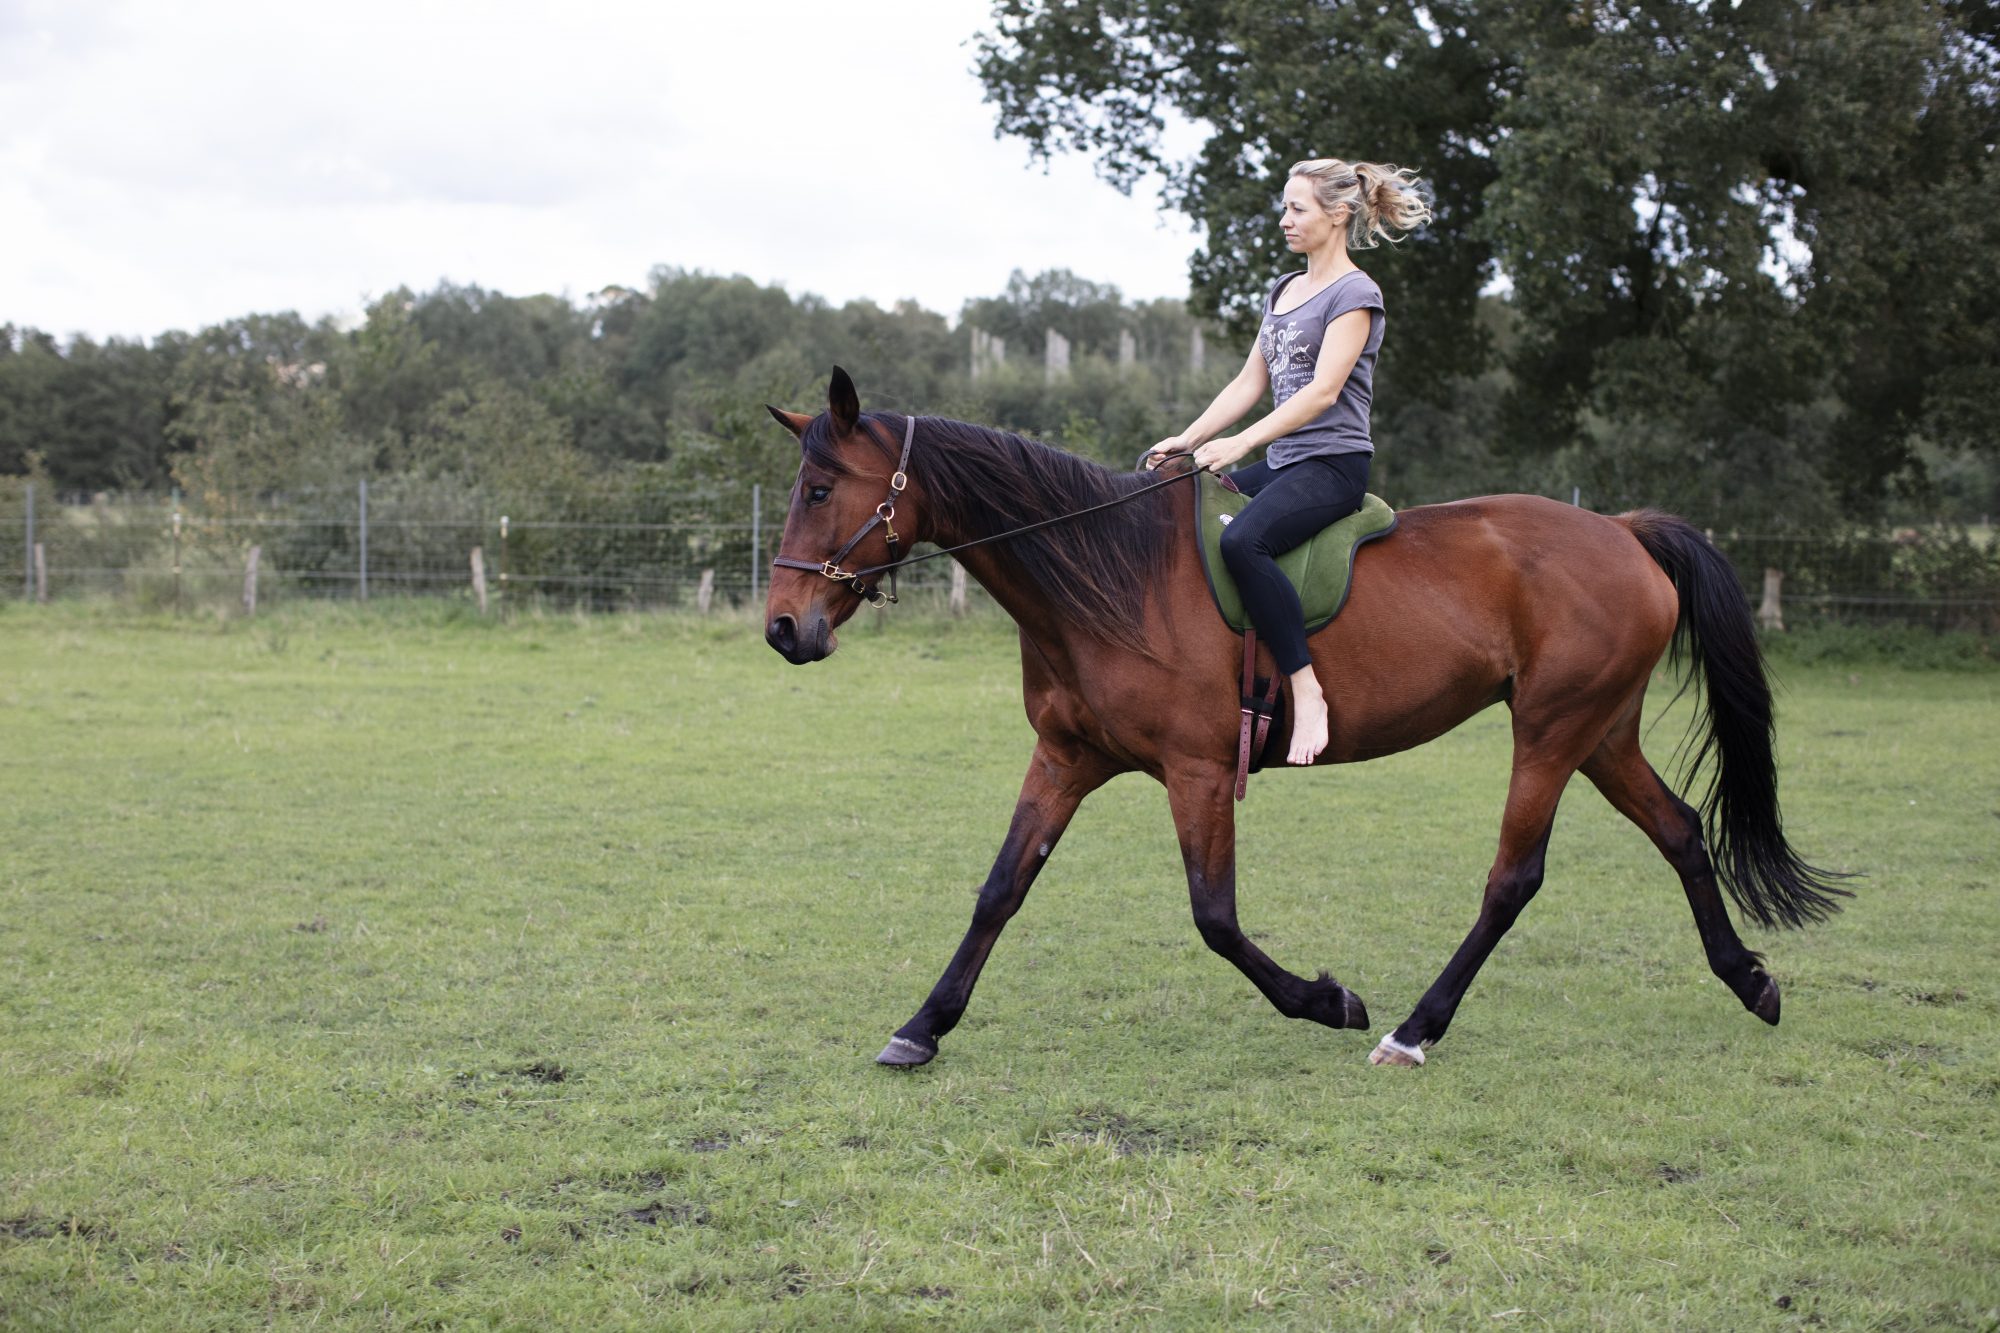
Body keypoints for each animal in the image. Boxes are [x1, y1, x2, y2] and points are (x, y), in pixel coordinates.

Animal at [762, 368, 1848, 1069]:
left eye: (820, 488)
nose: (782, 627)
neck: (1109, 578)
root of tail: (1619, 531)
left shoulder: (1199, 770)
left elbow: (1214, 917)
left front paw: (1327, 1001)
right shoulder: (1065, 756)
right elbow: (999, 890)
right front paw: (922, 1025)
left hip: (1550, 730)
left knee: (1514, 878)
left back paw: (1412, 1029)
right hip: (1600, 732)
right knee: (1681, 830)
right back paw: (1748, 981)